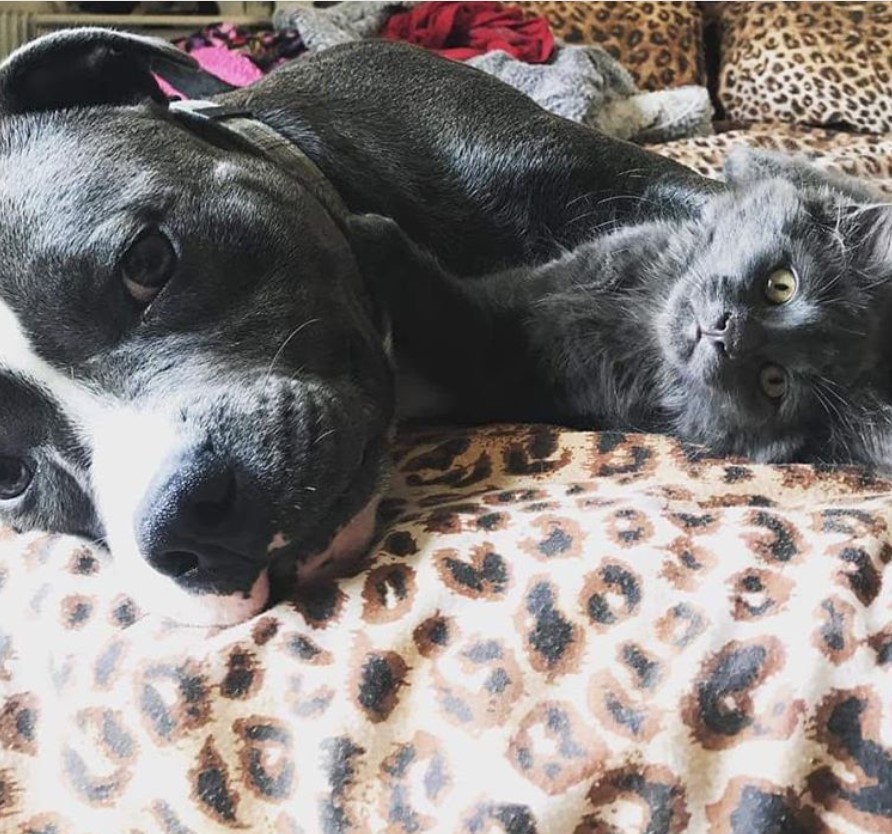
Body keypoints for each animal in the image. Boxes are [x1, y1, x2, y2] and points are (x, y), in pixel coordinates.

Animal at [348, 150, 892, 468]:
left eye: (773, 382)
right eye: (781, 285)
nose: (725, 331)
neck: (634, 315)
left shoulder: (502, 352)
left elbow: (439, 302)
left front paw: (367, 230)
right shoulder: (543, 280)